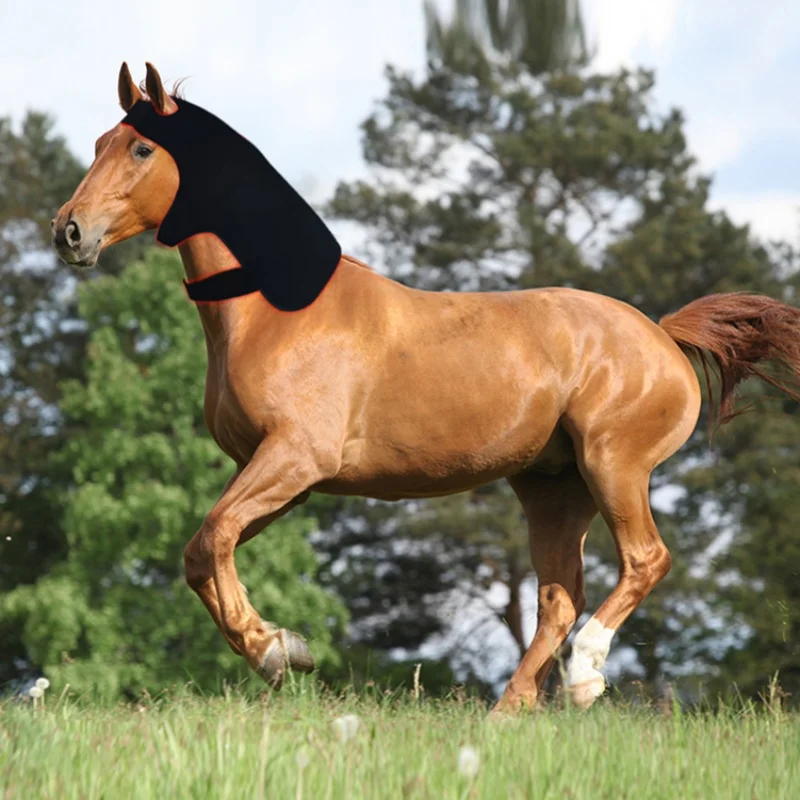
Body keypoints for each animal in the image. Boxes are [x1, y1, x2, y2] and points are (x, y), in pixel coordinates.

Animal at [52, 62, 800, 713]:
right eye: (99, 143)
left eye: (140, 148)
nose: (69, 231)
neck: (275, 311)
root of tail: (662, 335)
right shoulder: (276, 473)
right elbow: (201, 551)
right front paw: (284, 648)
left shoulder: (295, 459)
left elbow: (211, 540)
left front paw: (273, 651)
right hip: (554, 489)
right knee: (558, 598)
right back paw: (507, 713)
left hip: (613, 465)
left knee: (644, 561)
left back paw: (585, 677)